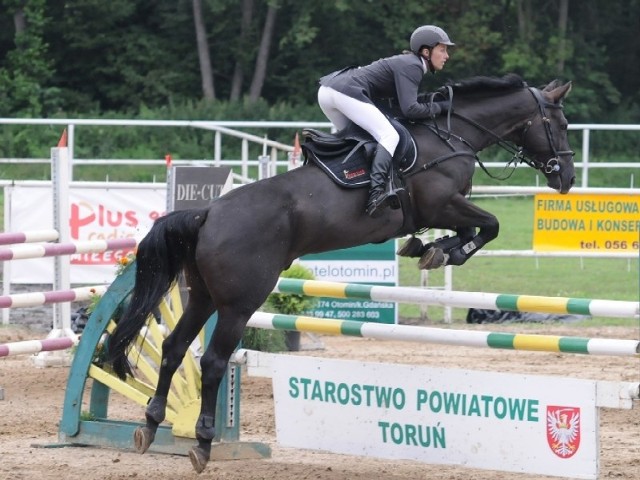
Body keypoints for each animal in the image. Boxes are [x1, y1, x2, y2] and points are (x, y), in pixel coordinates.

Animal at [106, 74, 576, 472]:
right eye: (561, 123)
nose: (568, 178)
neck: (450, 134)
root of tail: (207, 213)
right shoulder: (442, 203)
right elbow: (489, 225)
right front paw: (441, 252)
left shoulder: (445, 210)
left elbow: (470, 232)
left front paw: (429, 250)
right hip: (239, 304)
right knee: (214, 361)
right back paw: (202, 444)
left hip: (203, 296)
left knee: (173, 347)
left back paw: (150, 425)